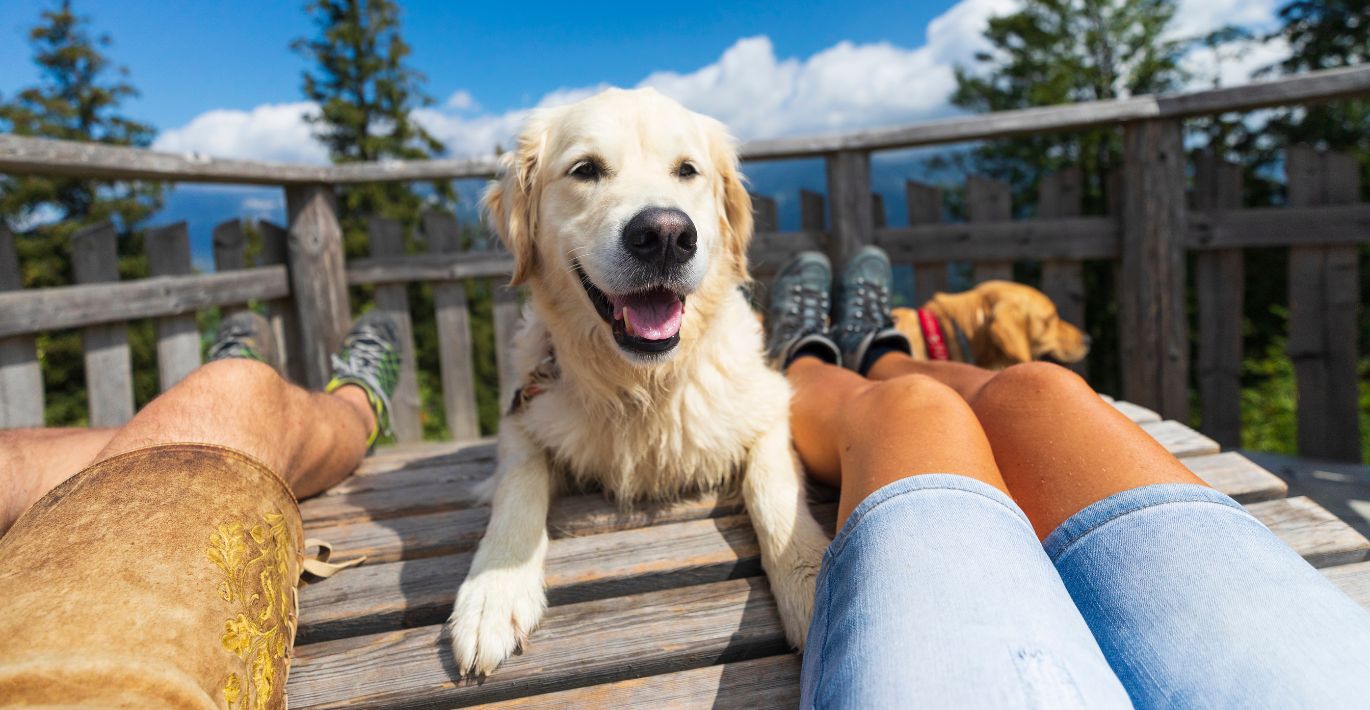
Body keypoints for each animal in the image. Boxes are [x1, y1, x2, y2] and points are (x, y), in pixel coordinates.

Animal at [446, 87, 822, 679]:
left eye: (687, 170)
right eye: (585, 169)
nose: (666, 234)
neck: (643, 384)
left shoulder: (768, 407)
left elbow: (774, 492)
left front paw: (813, 583)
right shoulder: (522, 418)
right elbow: (518, 485)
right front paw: (494, 591)